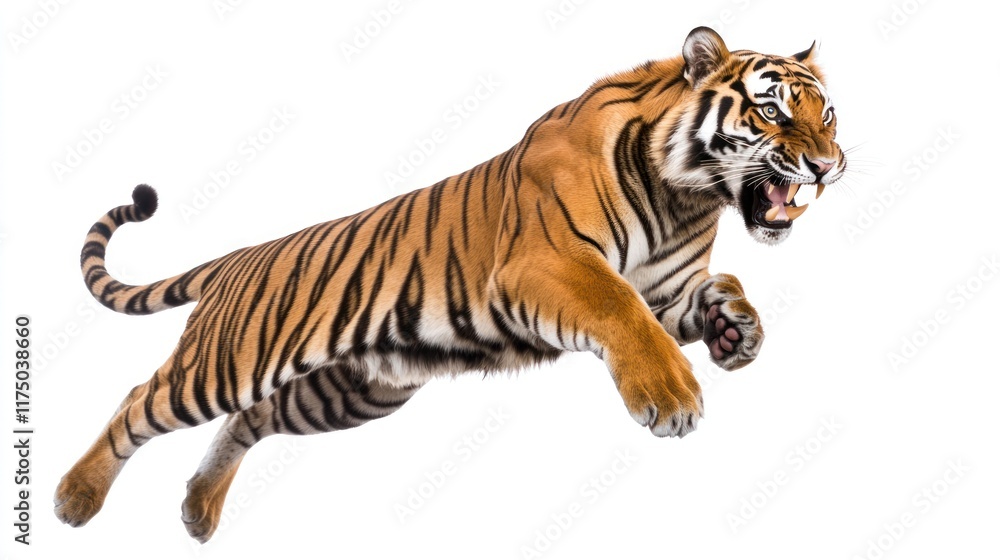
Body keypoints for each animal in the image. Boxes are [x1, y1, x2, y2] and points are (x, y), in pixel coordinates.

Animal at [55, 26, 845, 542]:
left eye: (827, 113)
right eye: (772, 110)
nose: (828, 166)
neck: (687, 196)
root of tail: (235, 257)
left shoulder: (669, 290)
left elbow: (716, 286)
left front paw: (737, 329)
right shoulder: (547, 262)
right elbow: (620, 310)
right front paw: (673, 396)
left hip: (349, 391)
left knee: (248, 420)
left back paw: (197, 509)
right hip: (228, 362)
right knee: (138, 402)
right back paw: (74, 498)